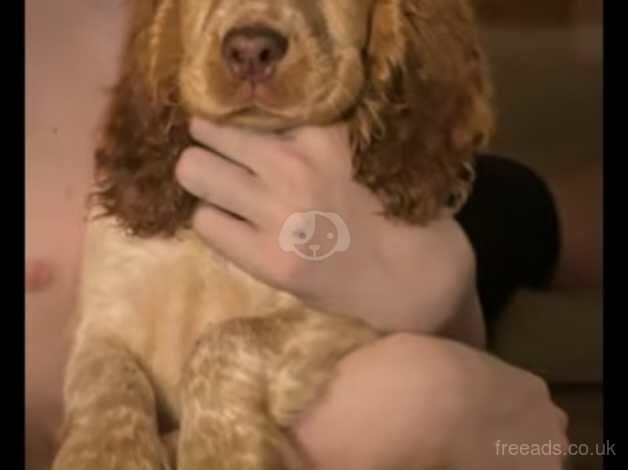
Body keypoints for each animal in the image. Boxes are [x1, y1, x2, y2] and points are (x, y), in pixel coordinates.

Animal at [54, 0, 494, 468]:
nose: (250, 51)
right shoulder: (103, 319)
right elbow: (108, 383)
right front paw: (103, 456)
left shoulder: (351, 317)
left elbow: (226, 339)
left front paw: (223, 453)